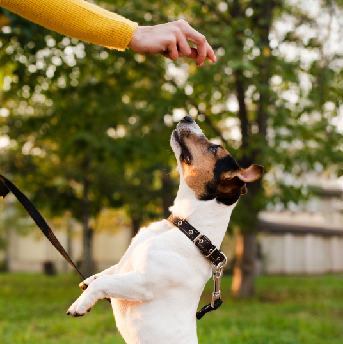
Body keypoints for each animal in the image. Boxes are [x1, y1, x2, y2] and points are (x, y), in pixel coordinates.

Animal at [68, 116, 266, 344]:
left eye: (215, 148)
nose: (187, 117)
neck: (186, 230)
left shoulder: (142, 283)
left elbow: (106, 281)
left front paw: (81, 303)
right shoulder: (127, 267)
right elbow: (110, 271)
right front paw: (88, 280)